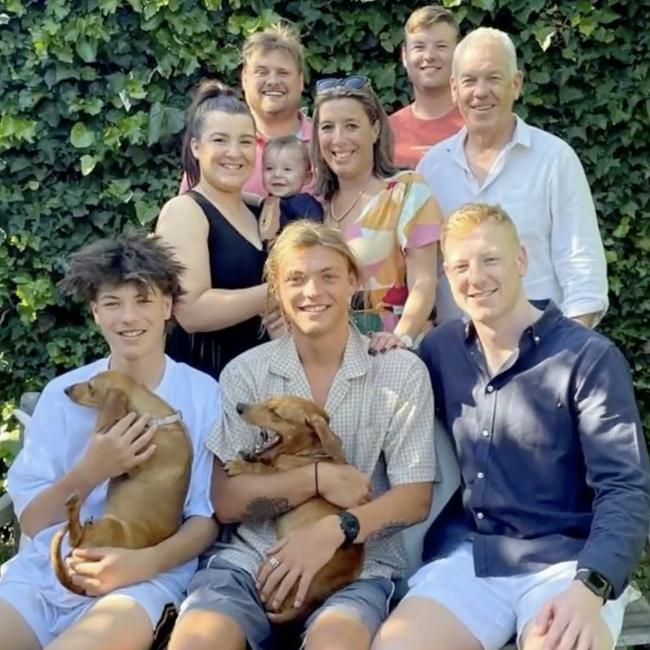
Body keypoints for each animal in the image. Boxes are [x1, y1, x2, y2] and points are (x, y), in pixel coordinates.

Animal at [49, 370, 191, 592]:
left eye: (90, 387)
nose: (66, 389)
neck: (156, 421)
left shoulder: (133, 464)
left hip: (109, 527)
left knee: (75, 535)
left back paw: (73, 507)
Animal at [225, 392, 362, 620]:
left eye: (275, 413)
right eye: (267, 402)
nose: (239, 407)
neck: (310, 453)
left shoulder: (280, 473)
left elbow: (262, 469)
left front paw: (241, 465)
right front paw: (250, 456)